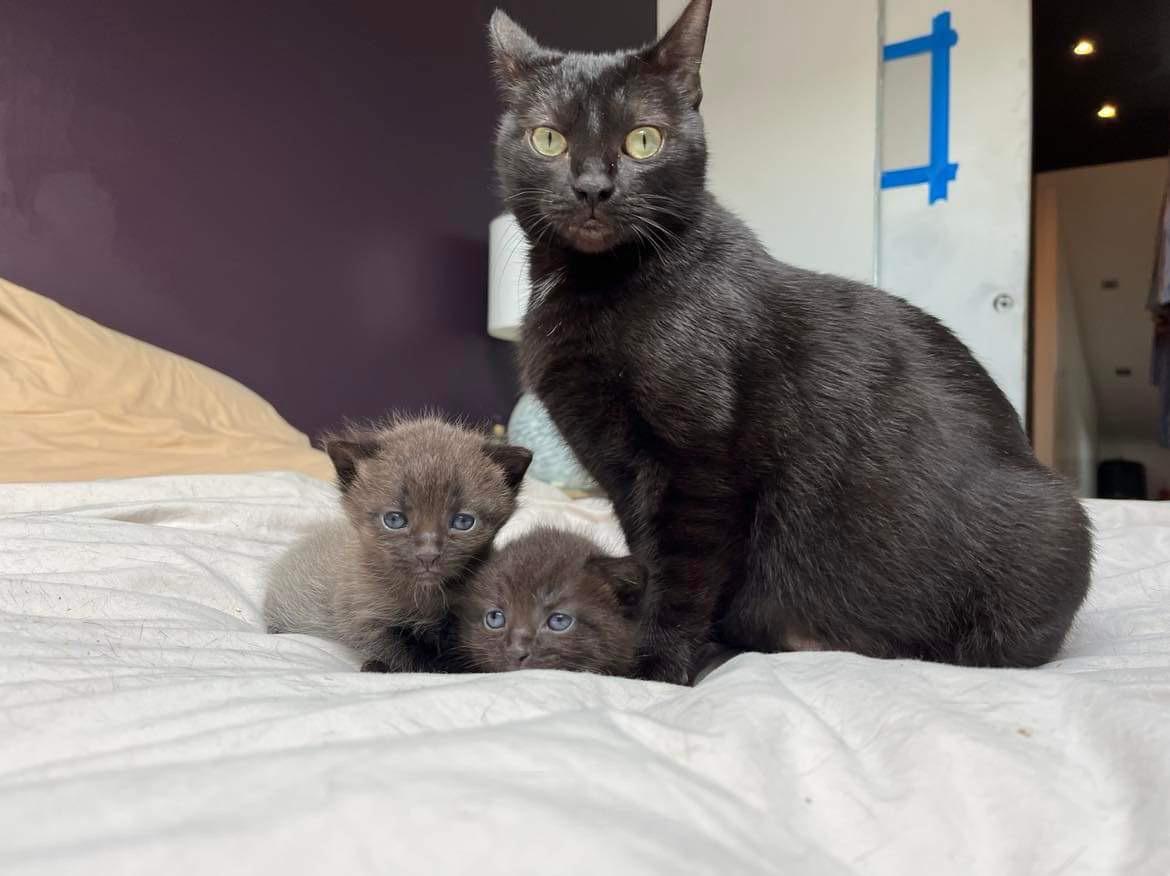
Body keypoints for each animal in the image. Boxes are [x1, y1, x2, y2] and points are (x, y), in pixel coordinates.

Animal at [263, 416, 532, 672]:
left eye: (463, 521)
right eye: (394, 520)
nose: (427, 555)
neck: (427, 597)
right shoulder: (366, 619)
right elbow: (406, 655)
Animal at [488, 0, 1092, 684]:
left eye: (644, 140)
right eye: (548, 139)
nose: (592, 187)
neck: (599, 287)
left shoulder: (699, 468)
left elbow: (681, 574)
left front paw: (655, 667)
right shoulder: (623, 476)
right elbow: (645, 559)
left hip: (1054, 527)